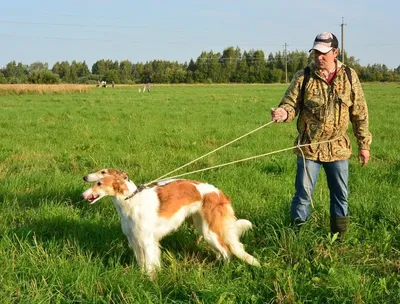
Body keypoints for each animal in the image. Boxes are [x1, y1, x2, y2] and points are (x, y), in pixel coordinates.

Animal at [82, 169, 260, 278]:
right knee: (222, 251)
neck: (131, 199)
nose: (82, 194)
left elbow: (149, 265)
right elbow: (142, 263)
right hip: (204, 229)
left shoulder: (146, 241)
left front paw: (149, 281)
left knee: (227, 252)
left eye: (100, 180)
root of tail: (219, 193)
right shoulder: (134, 239)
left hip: (210, 231)